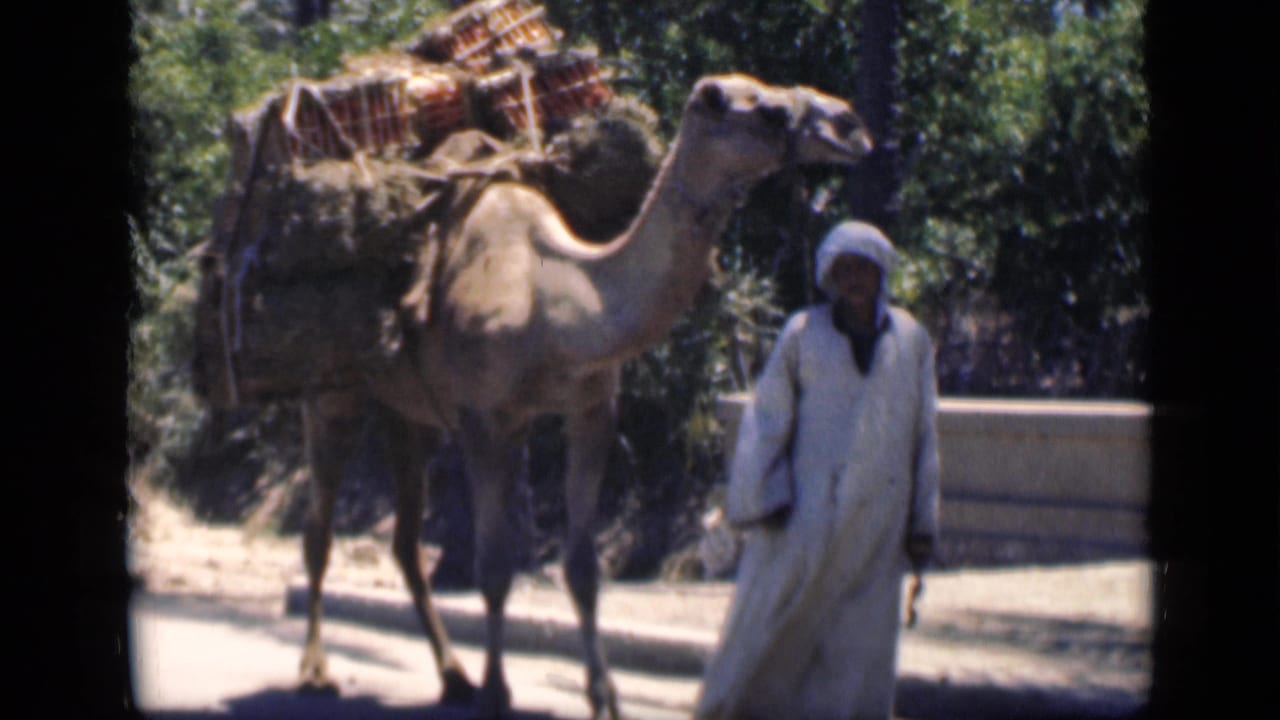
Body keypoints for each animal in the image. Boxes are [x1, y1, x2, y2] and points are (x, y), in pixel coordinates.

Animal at [295, 74, 872, 719]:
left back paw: (452, 677)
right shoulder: (484, 418)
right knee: (318, 531)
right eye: (768, 110)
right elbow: (494, 565)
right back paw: (318, 672)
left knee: (403, 541)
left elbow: (582, 567)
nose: (851, 126)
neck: (557, 303)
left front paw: (604, 697)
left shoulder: (591, 409)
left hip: (407, 411)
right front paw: (497, 692)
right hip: (332, 393)